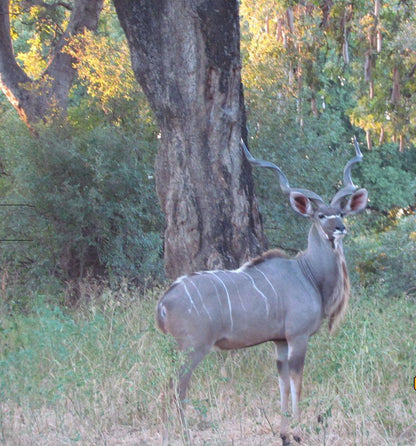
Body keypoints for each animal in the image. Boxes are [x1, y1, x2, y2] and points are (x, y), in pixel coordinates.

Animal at [156, 139, 368, 442]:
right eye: (320, 215)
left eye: (340, 213)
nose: (340, 228)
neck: (308, 274)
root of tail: (165, 301)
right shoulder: (298, 337)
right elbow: (297, 381)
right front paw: (299, 433)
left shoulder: (279, 341)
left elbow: (283, 383)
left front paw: (284, 434)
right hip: (193, 347)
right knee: (177, 387)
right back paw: (184, 436)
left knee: (169, 385)